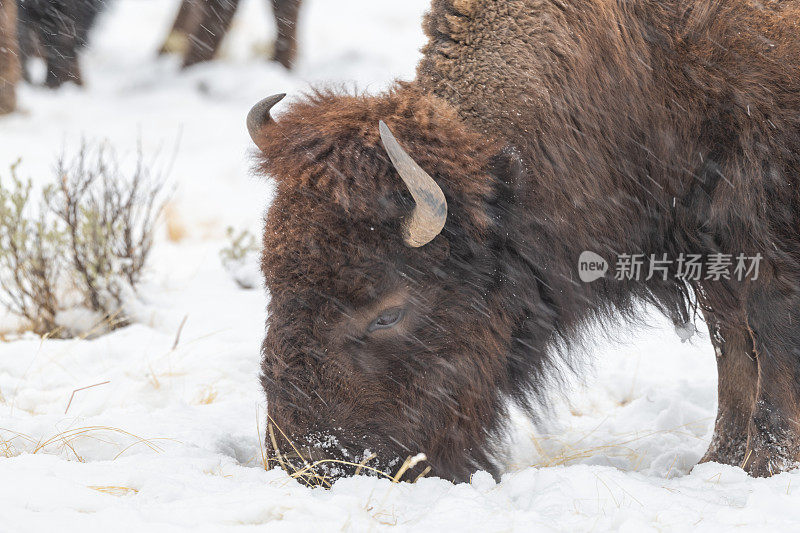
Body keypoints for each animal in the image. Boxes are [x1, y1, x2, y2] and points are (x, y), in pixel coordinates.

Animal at [247, 0, 800, 482]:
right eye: (271, 282)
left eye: (388, 314)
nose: (306, 465)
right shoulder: (711, 255)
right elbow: (732, 349)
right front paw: (719, 464)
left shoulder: (761, 239)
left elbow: (767, 342)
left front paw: (763, 470)